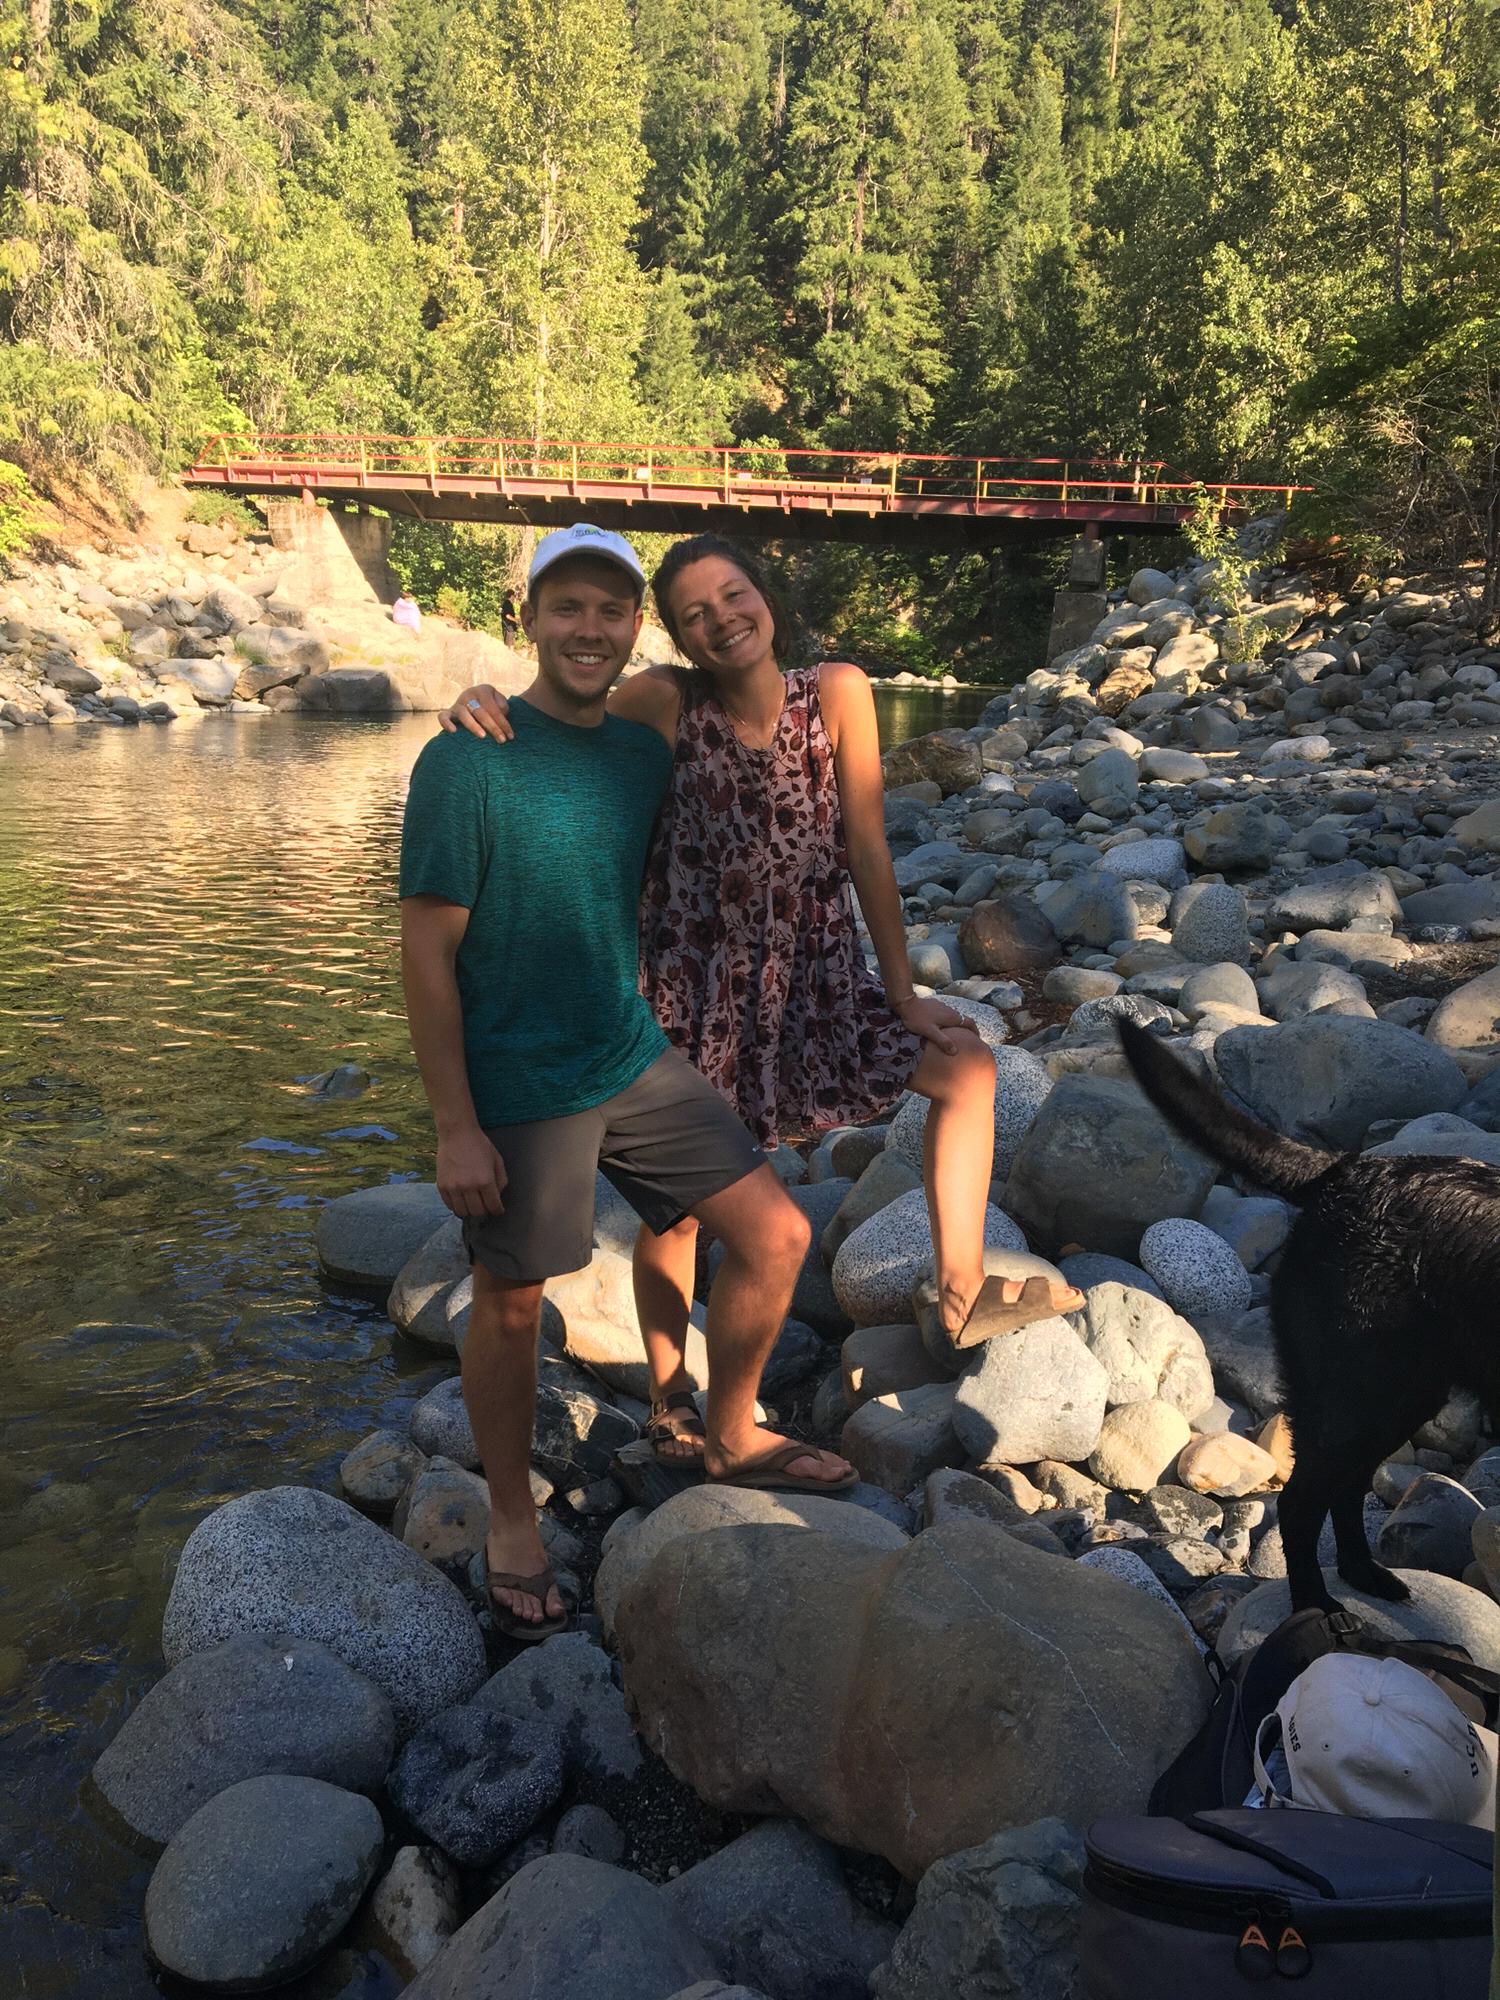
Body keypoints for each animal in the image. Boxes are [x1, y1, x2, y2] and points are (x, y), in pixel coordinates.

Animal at [1120, 1024, 1500, 1616]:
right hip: (1358, 1397)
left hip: (1391, 1398)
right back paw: (1316, 1609)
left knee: (1344, 1489)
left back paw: (1364, 1575)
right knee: (1303, 1503)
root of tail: (1344, 1169)